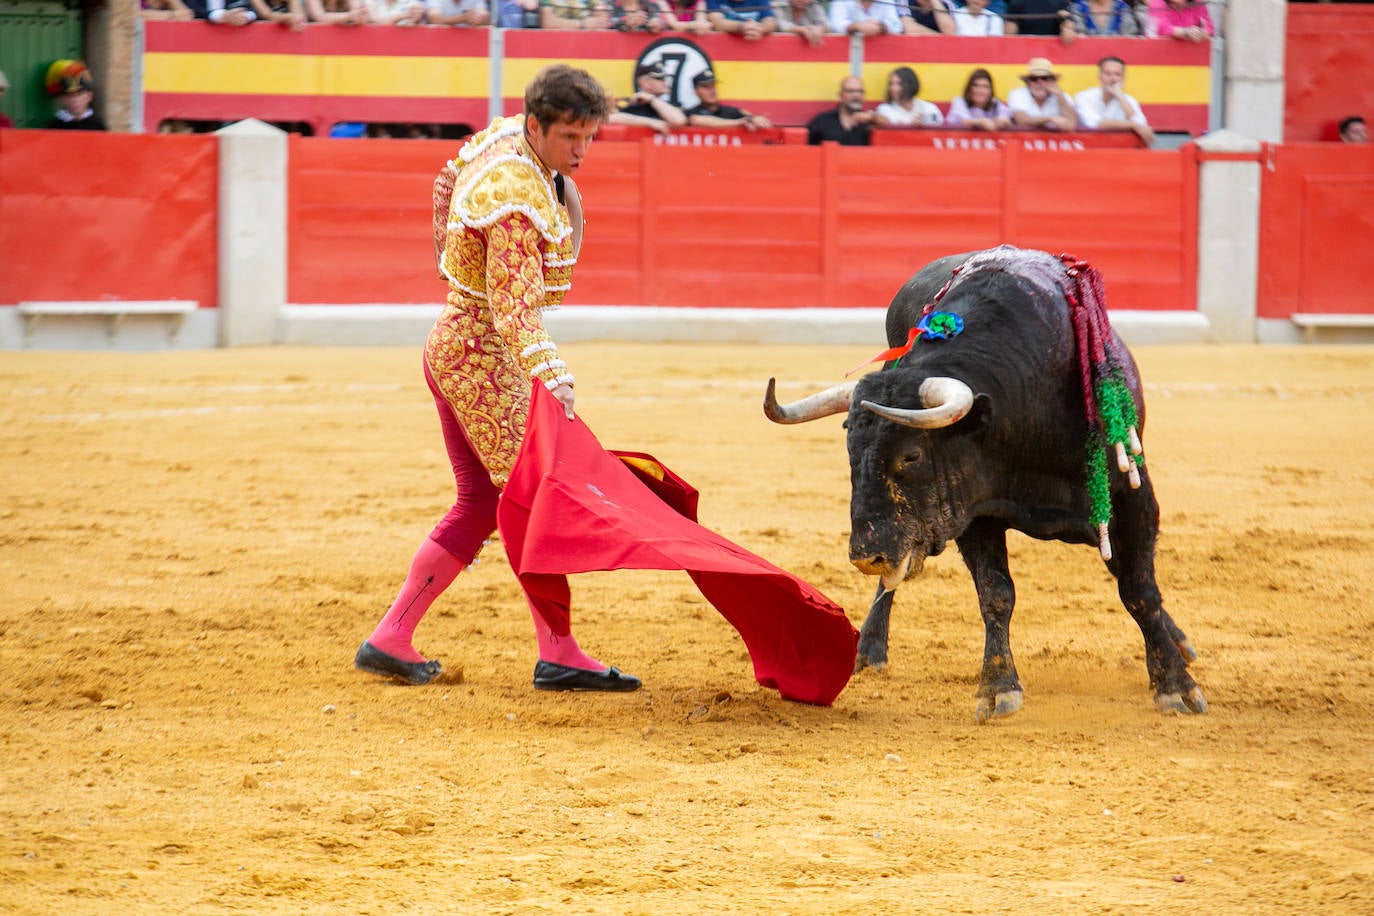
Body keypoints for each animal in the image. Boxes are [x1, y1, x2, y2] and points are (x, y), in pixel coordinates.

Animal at [769, 247, 1209, 719]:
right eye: (850, 450)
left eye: (911, 455)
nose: (866, 555)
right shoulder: (973, 511)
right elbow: (996, 594)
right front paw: (998, 686)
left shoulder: (1132, 498)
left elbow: (1140, 591)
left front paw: (1176, 686)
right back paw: (868, 648)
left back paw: (1179, 644)